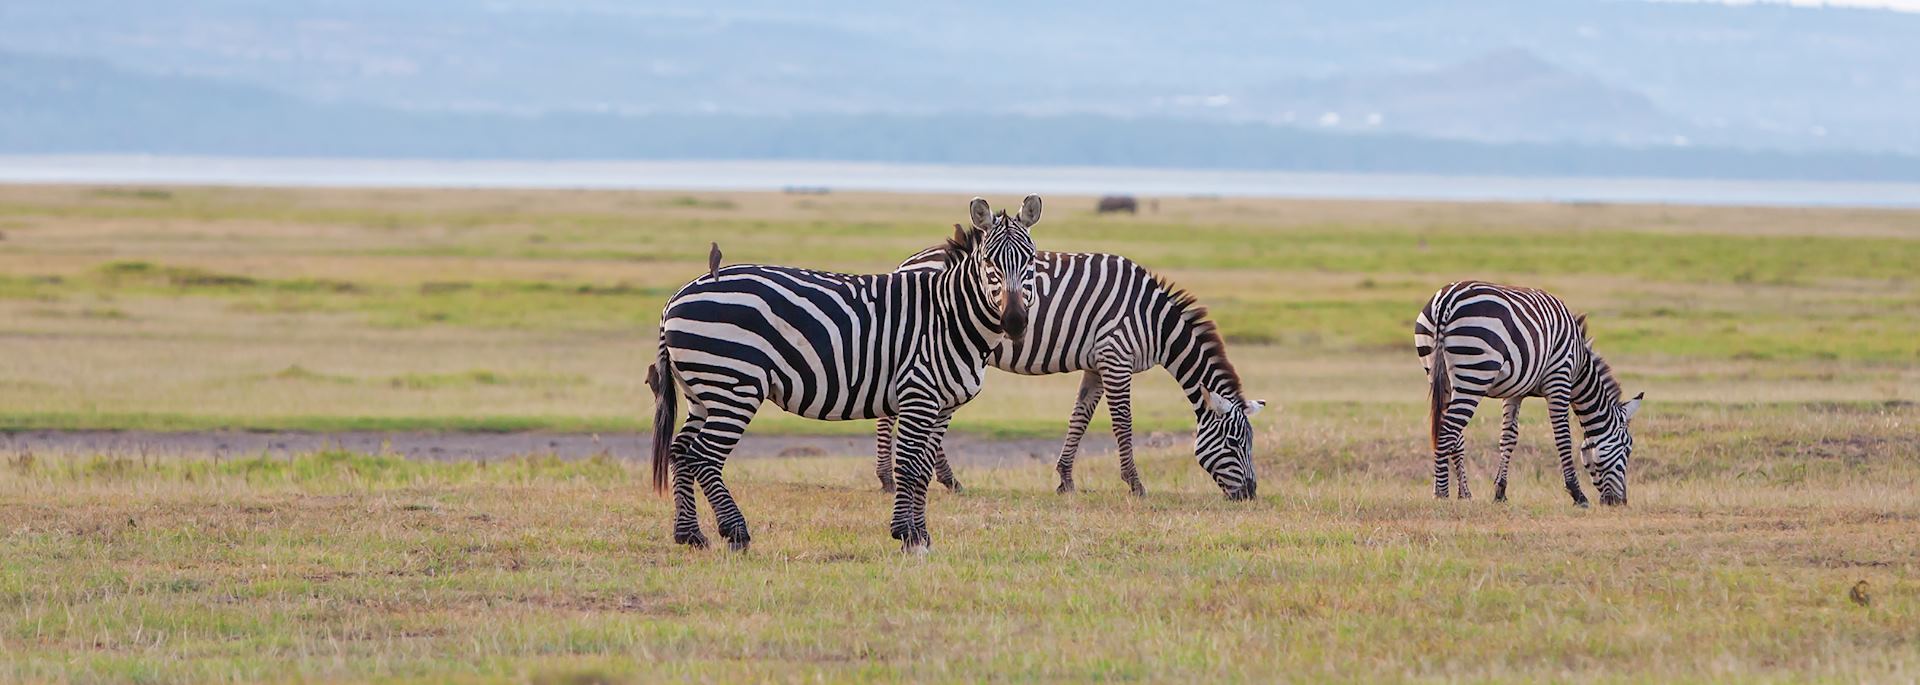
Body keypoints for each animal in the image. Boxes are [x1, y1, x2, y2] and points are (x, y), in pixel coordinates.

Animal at [652, 194, 1044, 552]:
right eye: (988, 262)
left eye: (1029, 261)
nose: (1015, 321)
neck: (949, 317)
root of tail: (676, 296)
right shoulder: (918, 394)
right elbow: (910, 466)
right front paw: (907, 535)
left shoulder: (942, 407)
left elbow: (924, 469)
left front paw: (922, 535)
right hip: (734, 386)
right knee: (704, 456)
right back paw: (736, 533)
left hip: (702, 390)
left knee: (681, 451)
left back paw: (690, 535)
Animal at [879, 247, 1267, 498]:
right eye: (1234, 443)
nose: (1250, 494)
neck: (1154, 322)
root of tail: (904, 264)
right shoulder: (1116, 355)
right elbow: (1122, 424)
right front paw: (1135, 485)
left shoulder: (1097, 364)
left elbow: (1080, 418)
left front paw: (1065, 480)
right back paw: (892, 479)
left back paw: (941, 479)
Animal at [1420, 278, 1643, 506]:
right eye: (1627, 448)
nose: (1621, 502)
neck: (1579, 366)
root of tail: (1447, 300)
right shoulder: (1559, 379)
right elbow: (1563, 437)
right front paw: (1577, 494)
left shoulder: (1514, 391)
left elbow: (1508, 437)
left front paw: (1500, 492)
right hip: (1474, 375)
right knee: (1447, 431)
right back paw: (1442, 495)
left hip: (1439, 373)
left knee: (1454, 435)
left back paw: (1463, 494)